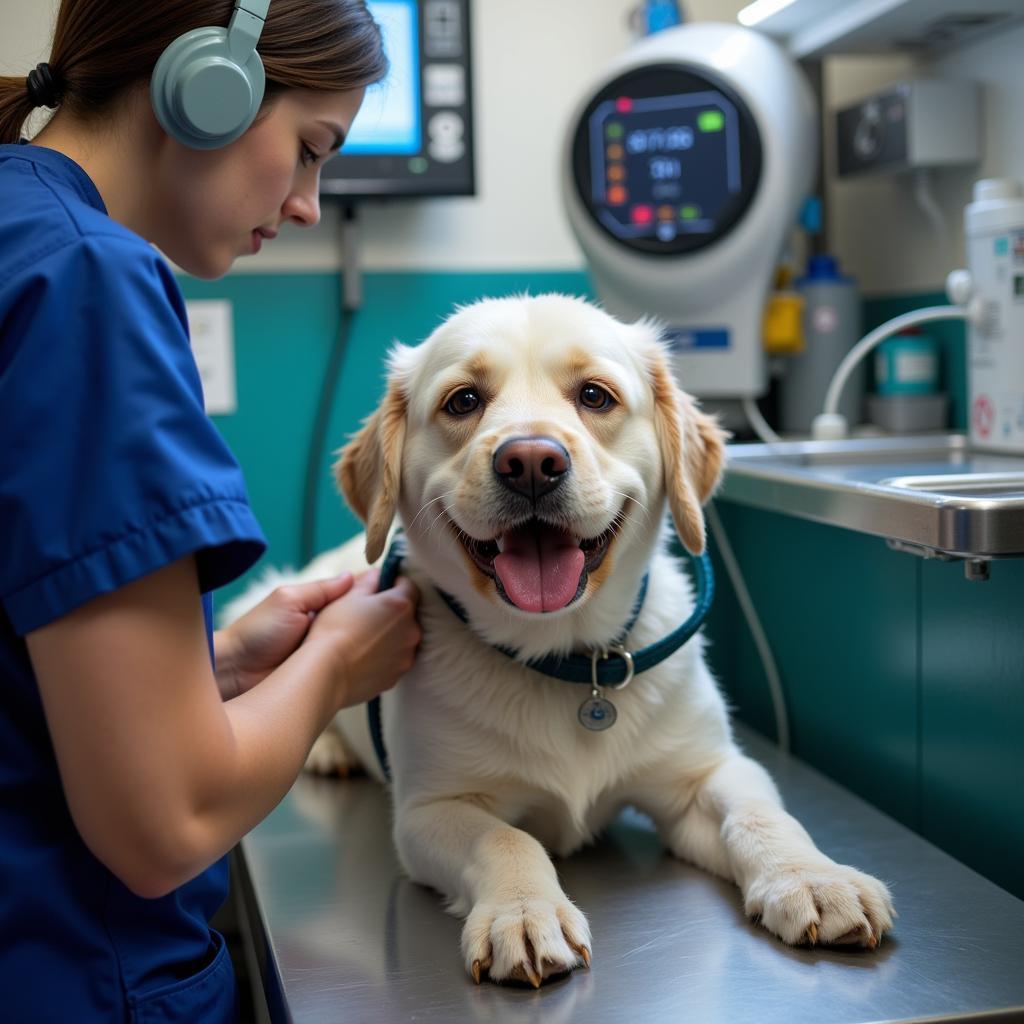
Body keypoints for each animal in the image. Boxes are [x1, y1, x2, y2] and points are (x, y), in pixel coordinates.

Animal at [222, 294, 888, 983]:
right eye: (463, 400)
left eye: (595, 395)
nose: (531, 463)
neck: (567, 659)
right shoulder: (430, 809)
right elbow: (504, 837)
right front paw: (522, 912)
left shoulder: (704, 772)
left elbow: (761, 814)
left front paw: (812, 879)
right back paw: (329, 750)